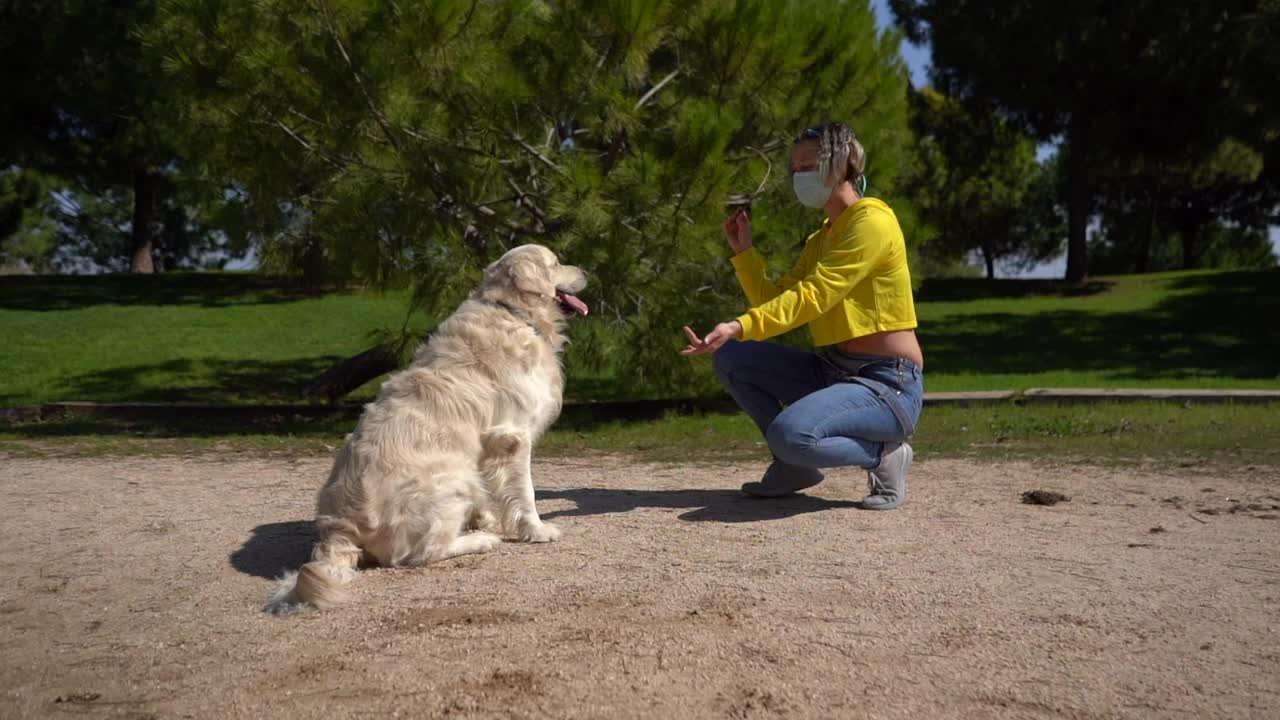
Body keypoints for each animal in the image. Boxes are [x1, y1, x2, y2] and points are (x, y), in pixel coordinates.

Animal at [272, 242, 591, 609]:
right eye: (556, 263)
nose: (587, 272)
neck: (513, 312)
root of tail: (340, 528)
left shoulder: (486, 447)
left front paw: (486, 517)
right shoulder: (512, 436)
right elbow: (526, 493)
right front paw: (537, 531)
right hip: (449, 482)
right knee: (418, 554)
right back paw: (479, 540)